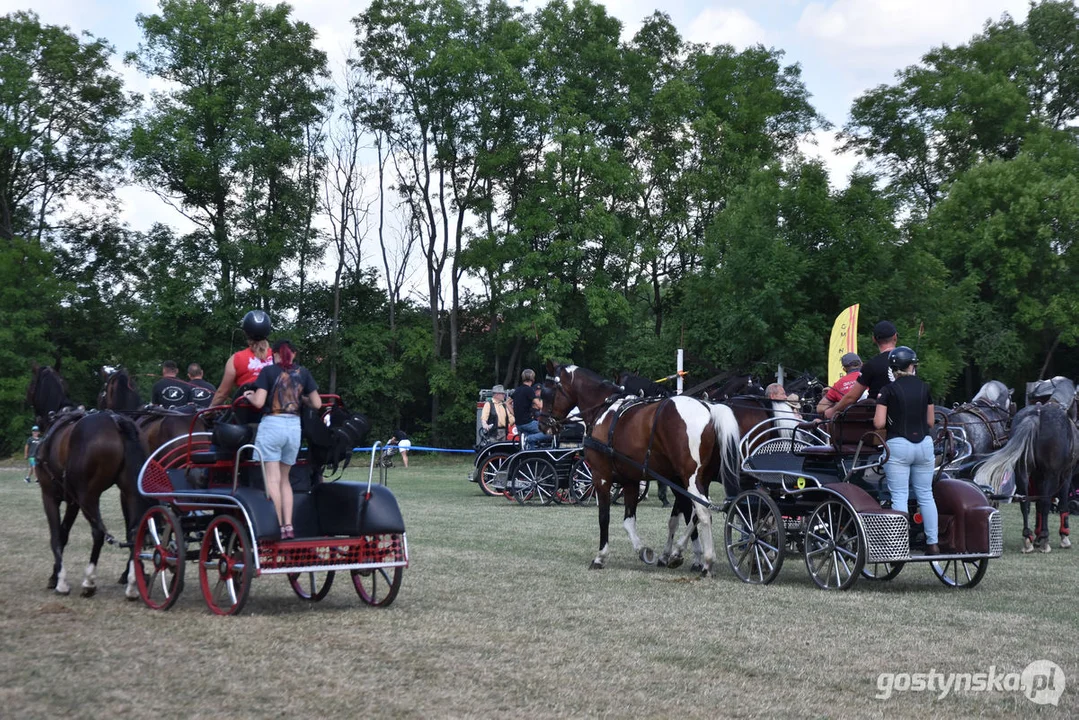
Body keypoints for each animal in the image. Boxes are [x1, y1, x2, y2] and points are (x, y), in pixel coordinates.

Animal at [27, 367, 146, 595]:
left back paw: (89, 581)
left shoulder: (50, 495)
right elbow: (63, 534)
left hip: (89, 496)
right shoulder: (73, 501)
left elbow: (56, 536)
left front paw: (60, 581)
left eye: (31, 384)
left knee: (98, 532)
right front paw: (54, 575)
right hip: (129, 492)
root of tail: (117, 423)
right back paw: (132, 584)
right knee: (135, 532)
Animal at [539, 362, 742, 578]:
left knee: (703, 511)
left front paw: (600, 557)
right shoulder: (631, 481)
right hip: (699, 479)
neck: (604, 410)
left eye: (546, 392)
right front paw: (644, 551)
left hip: (690, 478)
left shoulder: (601, 477)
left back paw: (706, 562)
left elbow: (604, 517)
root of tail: (709, 409)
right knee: (700, 511)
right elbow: (629, 521)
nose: (543, 425)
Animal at [975, 405, 1074, 552]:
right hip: (1050, 475)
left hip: (1023, 473)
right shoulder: (1066, 475)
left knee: (1024, 502)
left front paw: (1037, 536)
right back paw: (1045, 539)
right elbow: (1061, 504)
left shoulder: (1038, 478)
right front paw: (1063, 536)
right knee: (1045, 502)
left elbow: (1037, 506)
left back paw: (1028, 538)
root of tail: (1036, 414)